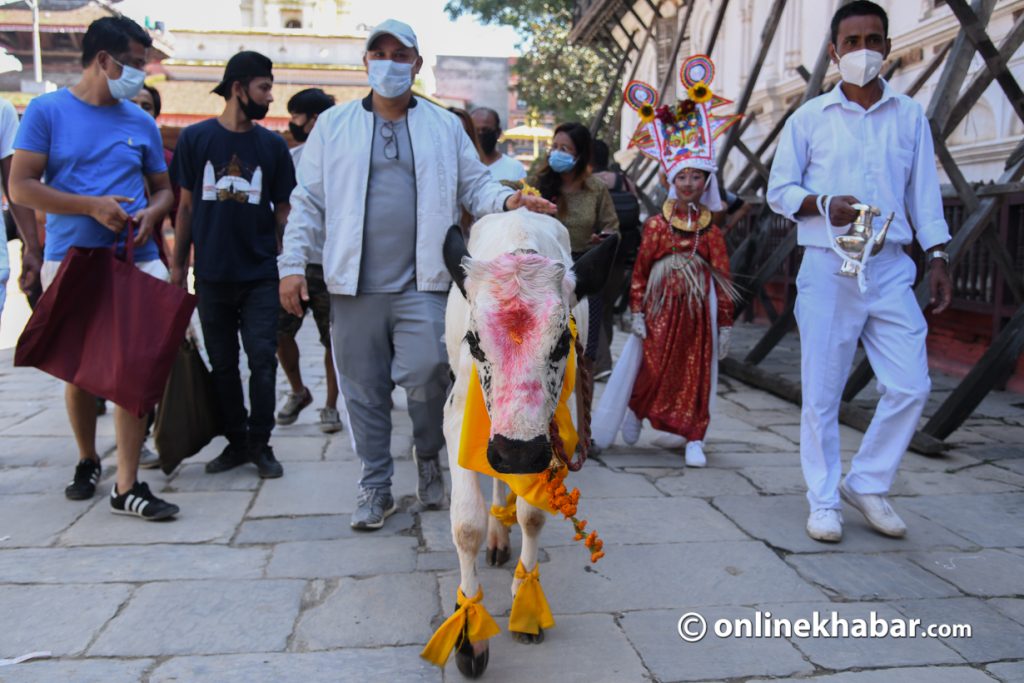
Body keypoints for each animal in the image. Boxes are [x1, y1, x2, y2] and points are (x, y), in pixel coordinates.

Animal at [438, 209, 614, 679]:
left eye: (562, 342)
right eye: (475, 341)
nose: (515, 452)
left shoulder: (548, 435)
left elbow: (533, 515)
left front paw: (526, 599)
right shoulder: (457, 418)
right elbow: (466, 525)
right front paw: (469, 633)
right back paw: (498, 533)